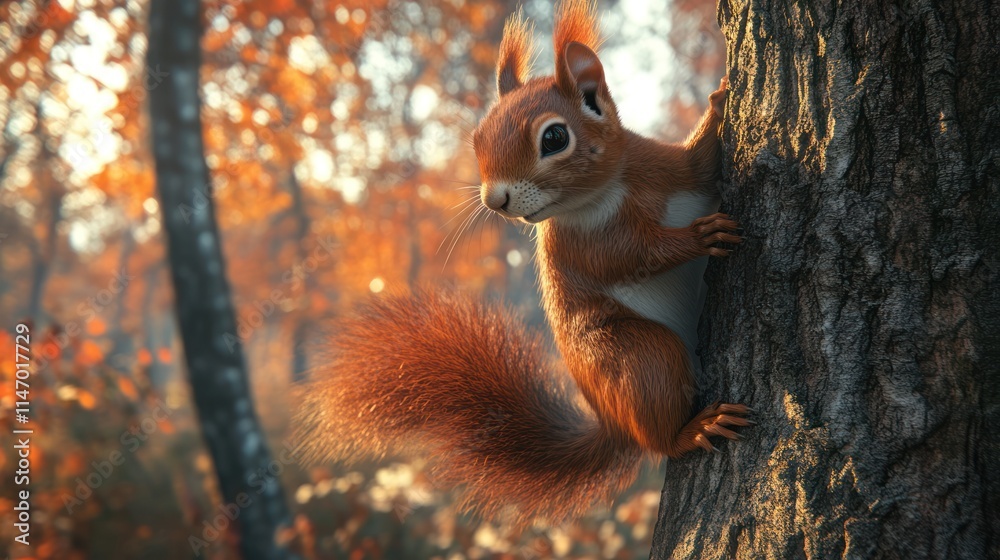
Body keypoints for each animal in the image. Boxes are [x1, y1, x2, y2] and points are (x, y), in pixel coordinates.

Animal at [296, 0, 750, 526]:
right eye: (477, 138)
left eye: (554, 138)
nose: (495, 201)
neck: (617, 184)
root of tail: (614, 423)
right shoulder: (582, 245)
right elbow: (635, 257)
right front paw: (698, 237)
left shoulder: (675, 168)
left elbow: (701, 157)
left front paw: (719, 100)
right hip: (634, 357)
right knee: (658, 428)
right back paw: (691, 431)